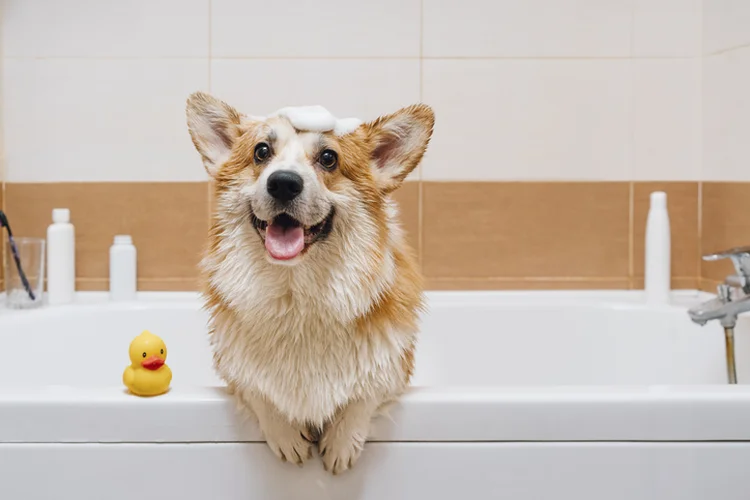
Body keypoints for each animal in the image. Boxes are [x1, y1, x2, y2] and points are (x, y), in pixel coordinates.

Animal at [187, 93, 434, 472]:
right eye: (261, 151)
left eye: (329, 158)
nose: (283, 183)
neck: (296, 294)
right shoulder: (233, 368)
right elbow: (258, 389)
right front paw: (287, 437)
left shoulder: (394, 366)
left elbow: (366, 390)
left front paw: (341, 444)